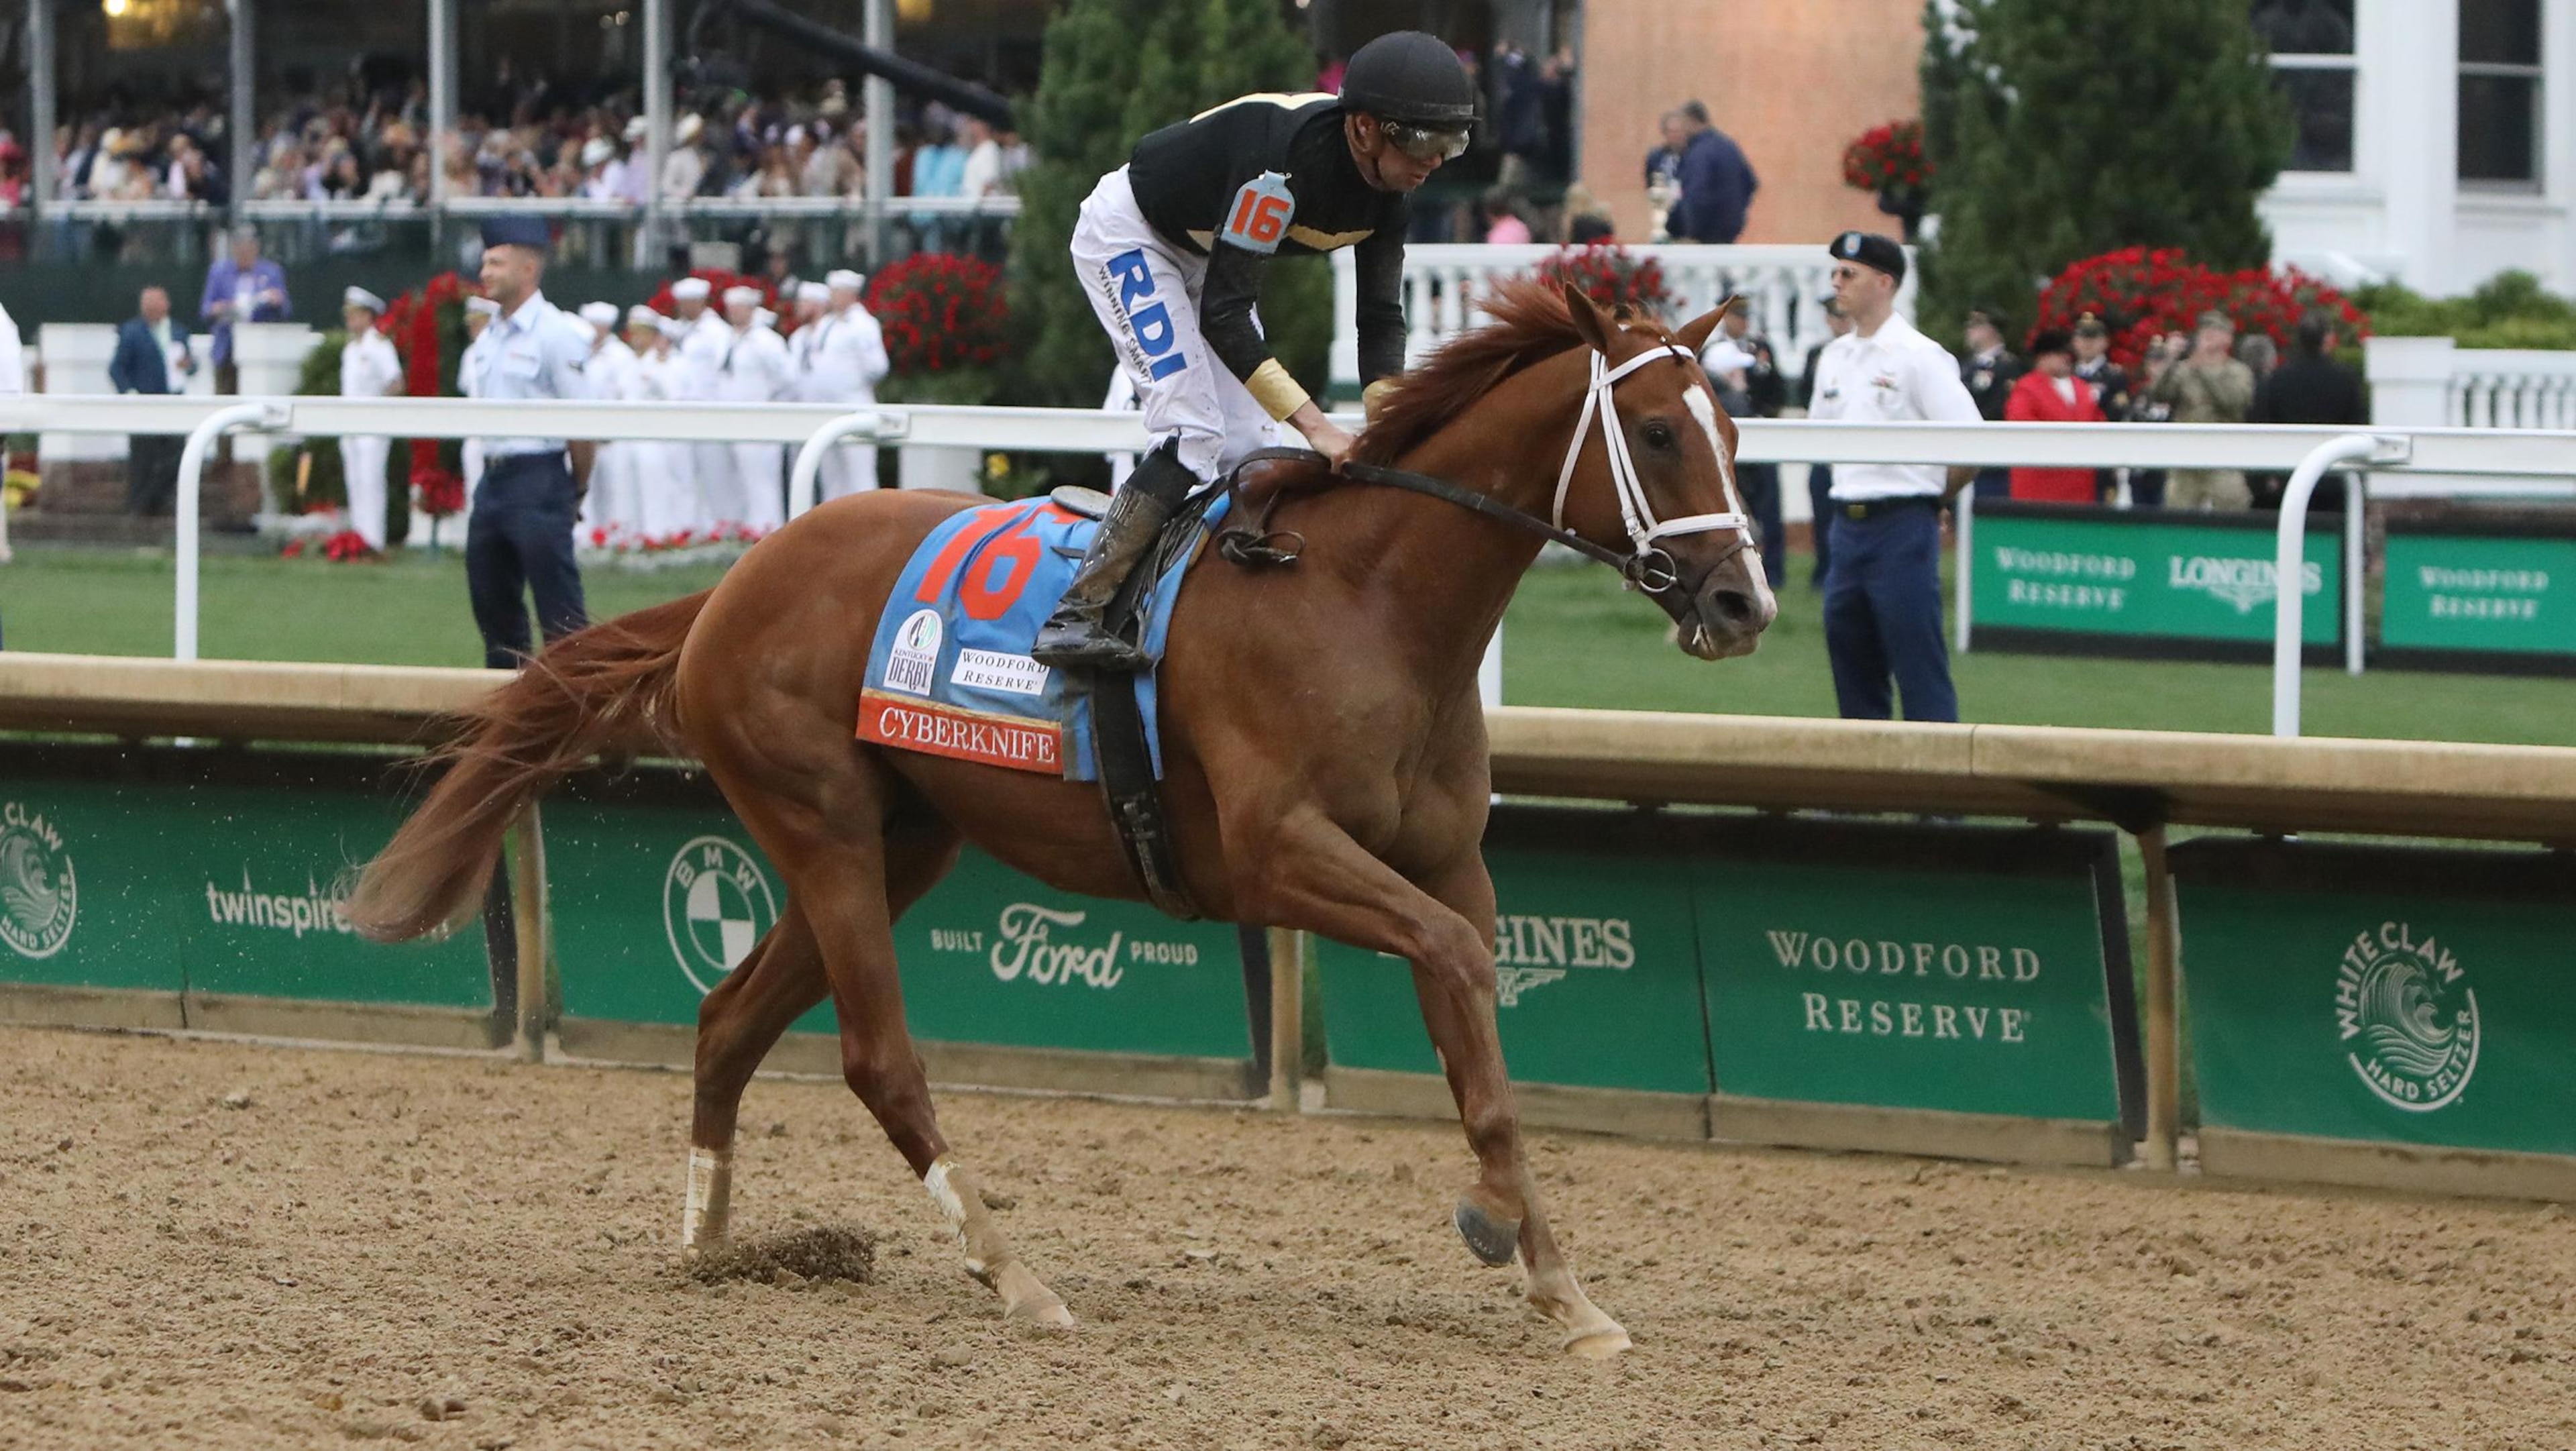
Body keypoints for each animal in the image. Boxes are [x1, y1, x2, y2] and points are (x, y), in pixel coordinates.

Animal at [349, 278, 1778, 1358]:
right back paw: (1013, 1272)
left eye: (1734, 426)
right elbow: (1459, 959)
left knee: (727, 1019)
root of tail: (733, 586)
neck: (1369, 599)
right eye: (1657, 431)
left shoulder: (1446, 863)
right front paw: (1496, 1229)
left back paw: (708, 1243)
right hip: (822, 826)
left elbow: (1476, 1017)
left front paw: (1561, 1285)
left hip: (899, 842)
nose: (1744, 602)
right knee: (876, 1057)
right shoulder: (1278, 854)